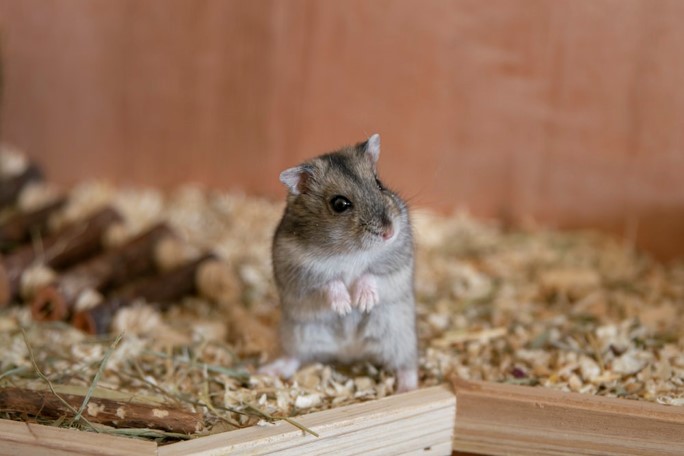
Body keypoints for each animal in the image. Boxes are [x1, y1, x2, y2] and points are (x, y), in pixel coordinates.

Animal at [259, 134, 418, 393]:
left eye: (379, 183)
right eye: (339, 204)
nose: (389, 233)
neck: (351, 251)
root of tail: (349, 352)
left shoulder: (397, 259)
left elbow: (371, 274)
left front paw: (362, 302)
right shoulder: (300, 270)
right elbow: (329, 282)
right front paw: (344, 306)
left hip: (400, 335)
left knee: (407, 365)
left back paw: (407, 389)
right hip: (298, 334)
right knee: (294, 357)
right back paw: (266, 371)